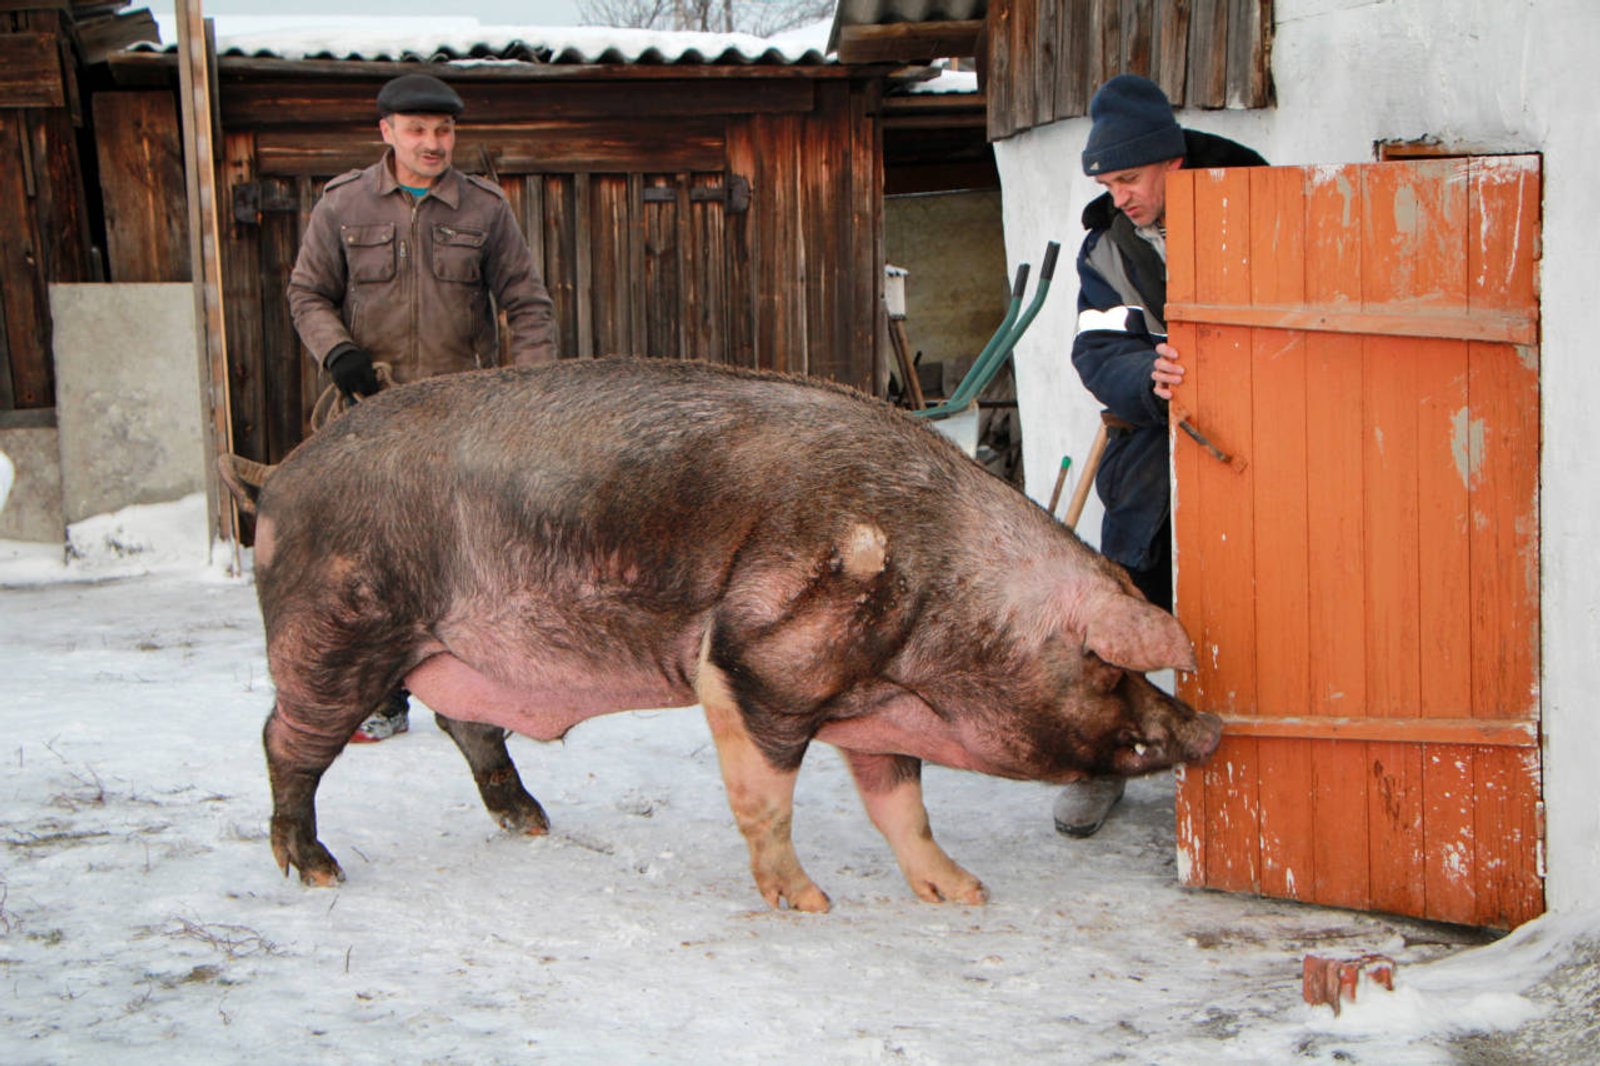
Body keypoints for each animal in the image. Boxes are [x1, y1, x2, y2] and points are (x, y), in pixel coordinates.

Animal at [252, 356, 1222, 902]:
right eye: (1106, 665)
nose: (1210, 726)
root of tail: (276, 479)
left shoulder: (872, 708)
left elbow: (903, 808)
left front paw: (966, 895)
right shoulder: (763, 659)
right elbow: (766, 796)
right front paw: (810, 905)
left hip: (444, 651)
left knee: (468, 724)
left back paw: (532, 824)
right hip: (334, 632)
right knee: (284, 741)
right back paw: (317, 869)